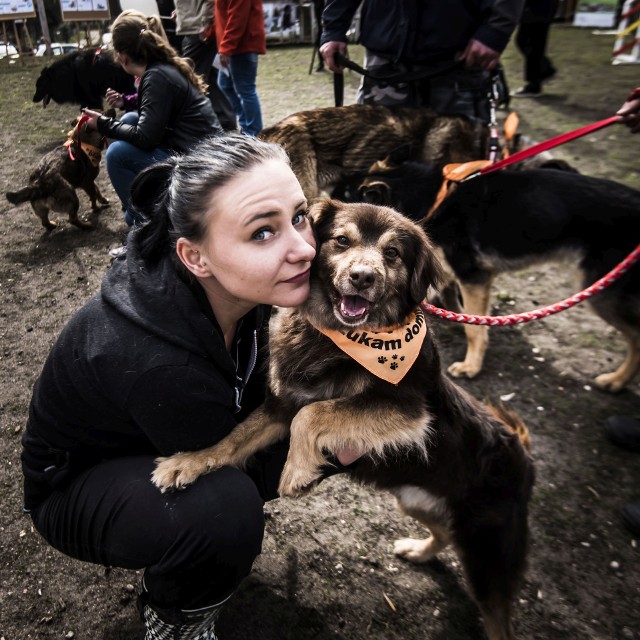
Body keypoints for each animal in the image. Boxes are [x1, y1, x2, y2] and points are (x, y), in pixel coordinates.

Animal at [152, 200, 532, 640]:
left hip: (488, 557)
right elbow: (234, 438)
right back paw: (418, 550)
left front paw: (296, 471)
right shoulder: (280, 405)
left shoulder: (407, 410)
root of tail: (519, 447)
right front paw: (186, 463)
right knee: (442, 533)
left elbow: (313, 413)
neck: (336, 338)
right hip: (417, 500)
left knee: (498, 619)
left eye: (392, 254)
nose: (362, 277)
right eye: (342, 241)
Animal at [356, 158, 640, 392]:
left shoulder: (474, 276)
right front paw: (460, 319)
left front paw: (471, 366)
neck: (434, 196)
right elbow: (458, 304)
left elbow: (474, 330)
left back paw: (616, 380)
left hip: (604, 293)